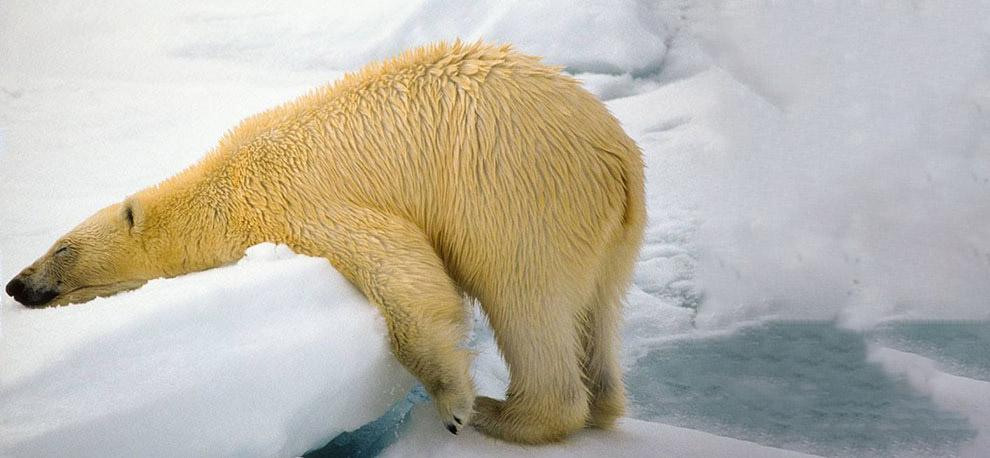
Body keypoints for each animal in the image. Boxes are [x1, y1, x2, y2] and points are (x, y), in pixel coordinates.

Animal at [7, 40, 652, 444]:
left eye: (60, 248)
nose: (16, 284)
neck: (224, 185)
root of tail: (615, 155)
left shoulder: (297, 201)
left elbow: (403, 273)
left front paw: (454, 403)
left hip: (518, 195)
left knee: (526, 298)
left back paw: (505, 415)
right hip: (613, 230)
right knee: (598, 307)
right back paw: (600, 401)